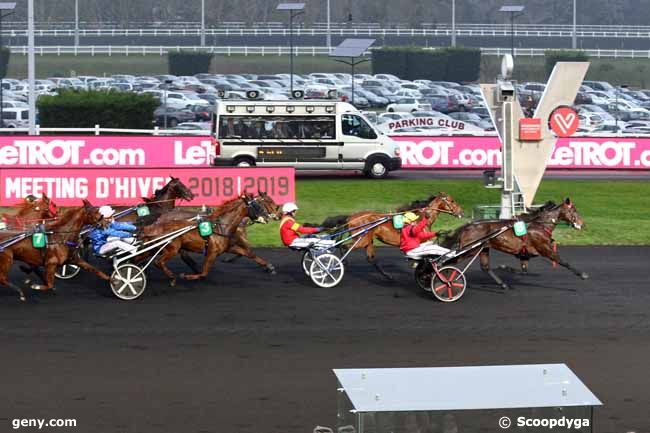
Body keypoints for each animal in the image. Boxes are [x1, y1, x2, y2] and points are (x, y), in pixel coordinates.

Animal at [140, 192, 272, 286]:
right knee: (159, 262)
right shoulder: (212, 252)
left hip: (157, 248)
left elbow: (248, 253)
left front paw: (269, 267)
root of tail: (156, 225)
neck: (220, 227)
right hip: (172, 248)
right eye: (257, 206)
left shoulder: (228, 247)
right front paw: (186, 276)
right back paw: (171, 277)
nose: (267, 217)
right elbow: (204, 273)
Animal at [320, 192, 464, 278]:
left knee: (370, 258)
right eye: (451, 200)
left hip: (368, 240)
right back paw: (343, 263)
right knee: (343, 247)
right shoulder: (421, 242)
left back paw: (387, 275)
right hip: (361, 240)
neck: (421, 218)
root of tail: (351, 217)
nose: (461, 212)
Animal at [436, 199, 588, 290]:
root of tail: (468, 226)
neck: (539, 225)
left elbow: (523, 270)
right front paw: (582, 274)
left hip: (483, 248)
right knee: (444, 262)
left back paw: (503, 284)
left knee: (485, 267)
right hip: (468, 250)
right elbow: (562, 261)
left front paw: (505, 268)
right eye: (574, 210)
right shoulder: (544, 248)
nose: (582, 224)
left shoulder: (525, 254)